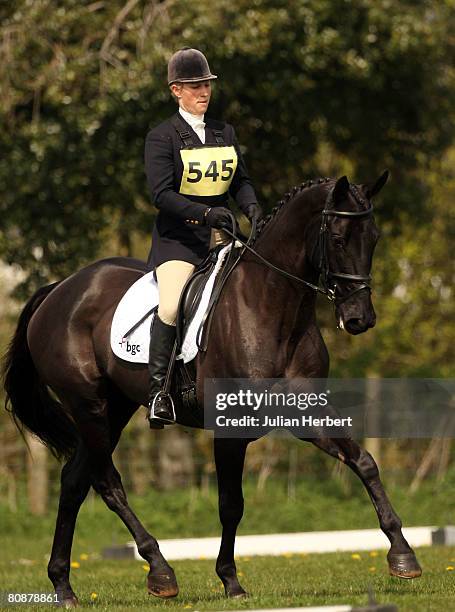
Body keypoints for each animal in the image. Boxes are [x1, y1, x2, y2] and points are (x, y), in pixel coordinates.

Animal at [3, 175, 422, 604]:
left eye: (373, 238)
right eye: (338, 239)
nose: (360, 318)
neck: (272, 305)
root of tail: (59, 290)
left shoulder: (305, 410)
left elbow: (364, 461)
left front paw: (403, 556)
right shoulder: (229, 428)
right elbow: (230, 504)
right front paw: (230, 580)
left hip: (114, 409)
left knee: (74, 481)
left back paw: (62, 585)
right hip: (88, 406)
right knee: (106, 483)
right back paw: (160, 572)